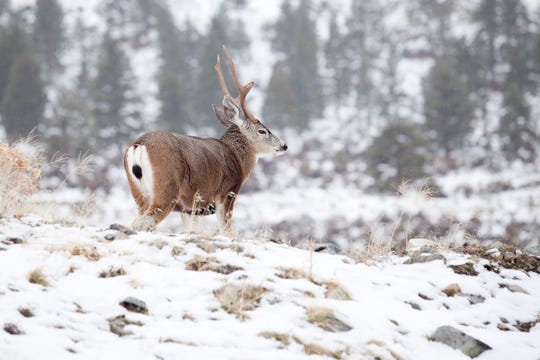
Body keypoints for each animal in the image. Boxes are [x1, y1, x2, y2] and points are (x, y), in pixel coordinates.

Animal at [123, 47, 286, 233]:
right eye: (262, 131)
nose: (284, 145)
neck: (237, 157)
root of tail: (138, 146)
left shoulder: (189, 207)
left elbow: (190, 229)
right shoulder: (227, 193)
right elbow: (226, 230)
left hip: (138, 194)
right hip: (167, 187)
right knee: (143, 222)